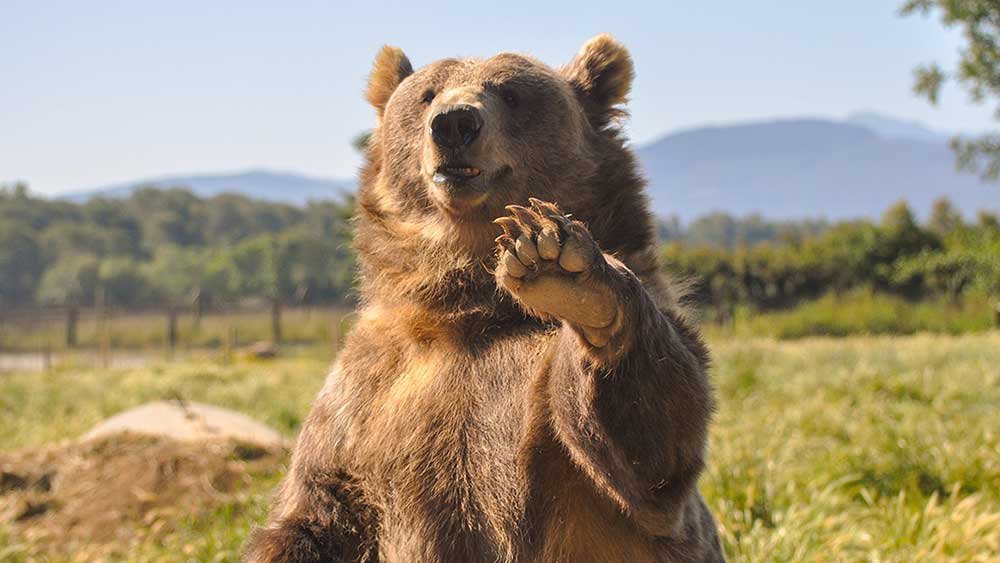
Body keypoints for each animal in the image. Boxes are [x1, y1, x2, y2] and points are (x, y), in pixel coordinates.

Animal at [244, 34, 724, 563]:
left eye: (511, 94)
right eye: (428, 94)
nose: (454, 124)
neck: (470, 301)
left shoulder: (542, 412)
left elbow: (658, 451)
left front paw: (567, 273)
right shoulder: (367, 392)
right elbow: (315, 504)